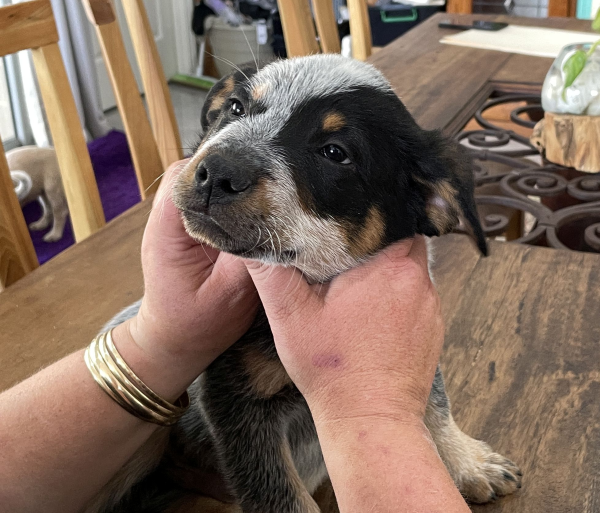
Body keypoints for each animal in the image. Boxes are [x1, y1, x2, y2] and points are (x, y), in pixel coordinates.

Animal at [86, 54, 524, 510]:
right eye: (237, 107)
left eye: (335, 153)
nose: (216, 171)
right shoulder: (234, 398)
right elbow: (280, 494)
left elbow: (434, 397)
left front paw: (467, 461)